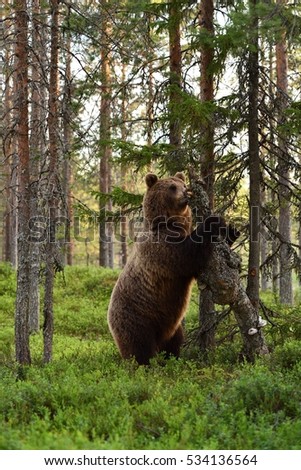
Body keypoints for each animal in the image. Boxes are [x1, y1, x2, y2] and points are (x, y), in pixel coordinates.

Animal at [106, 171, 224, 366]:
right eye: (172, 187)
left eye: (183, 184)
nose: (186, 193)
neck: (166, 223)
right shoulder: (161, 249)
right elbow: (187, 256)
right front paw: (213, 221)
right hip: (138, 317)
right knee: (139, 346)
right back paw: (146, 364)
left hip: (173, 326)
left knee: (175, 341)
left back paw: (172, 359)